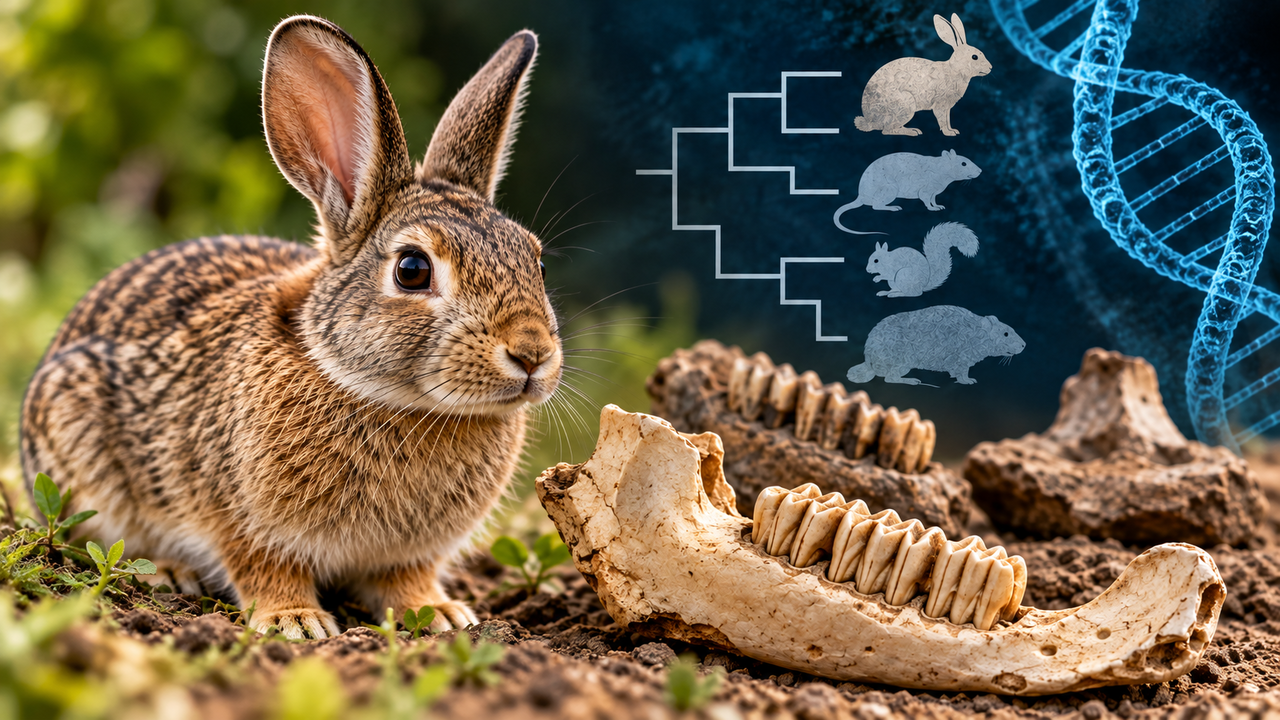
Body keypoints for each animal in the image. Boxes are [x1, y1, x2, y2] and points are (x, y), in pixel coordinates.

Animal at [19, 16, 561, 639]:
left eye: (537, 262)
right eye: (412, 270)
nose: (531, 353)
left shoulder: (409, 553)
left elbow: (406, 579)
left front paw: (441, 613)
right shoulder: (239, 520)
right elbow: (264, 568)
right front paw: (295, 622)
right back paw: (171, 571)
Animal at [854, 13, 992, 137]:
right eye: (974, 57)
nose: (991, 68)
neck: (954, 70)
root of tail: (869, 121)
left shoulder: (947, 107)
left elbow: (947, 119)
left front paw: (953, 130)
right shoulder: (941, 104)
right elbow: (942, 119)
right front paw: (948, 133)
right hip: (904, 105)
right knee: (887, 130)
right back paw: (912, 132)